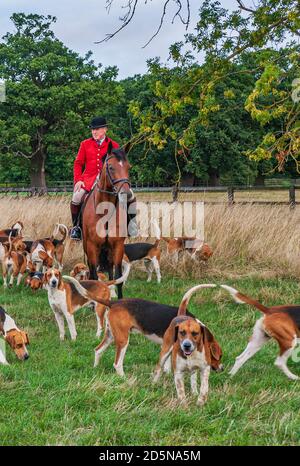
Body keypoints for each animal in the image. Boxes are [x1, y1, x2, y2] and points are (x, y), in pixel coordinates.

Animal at [82, 142, 134, 298]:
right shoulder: (92, 246)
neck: (104, 210)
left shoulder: (117, 246)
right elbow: (93, 276)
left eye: (129, 167)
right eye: (111, 167)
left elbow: (118, 278)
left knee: (110, 271)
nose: (127, 194)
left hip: (109, 251)